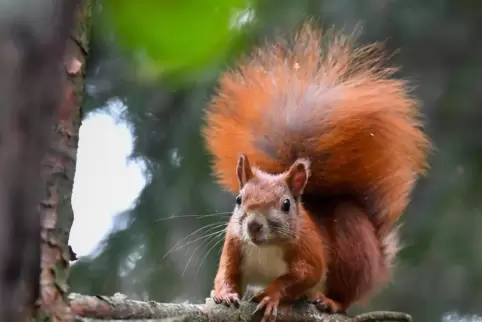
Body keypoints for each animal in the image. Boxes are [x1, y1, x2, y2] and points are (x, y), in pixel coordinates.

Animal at [201, 23, 432, 322]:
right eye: (239, 200)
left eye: (286, 204)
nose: (253, 225)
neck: (266, 247)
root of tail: (379, 261)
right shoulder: (233, 245)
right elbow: (226, 274)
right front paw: (224, 294)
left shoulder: (310, 251)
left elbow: (301, 277)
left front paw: (272, 295)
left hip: (353, 248)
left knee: (346, 294)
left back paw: (329, 301)